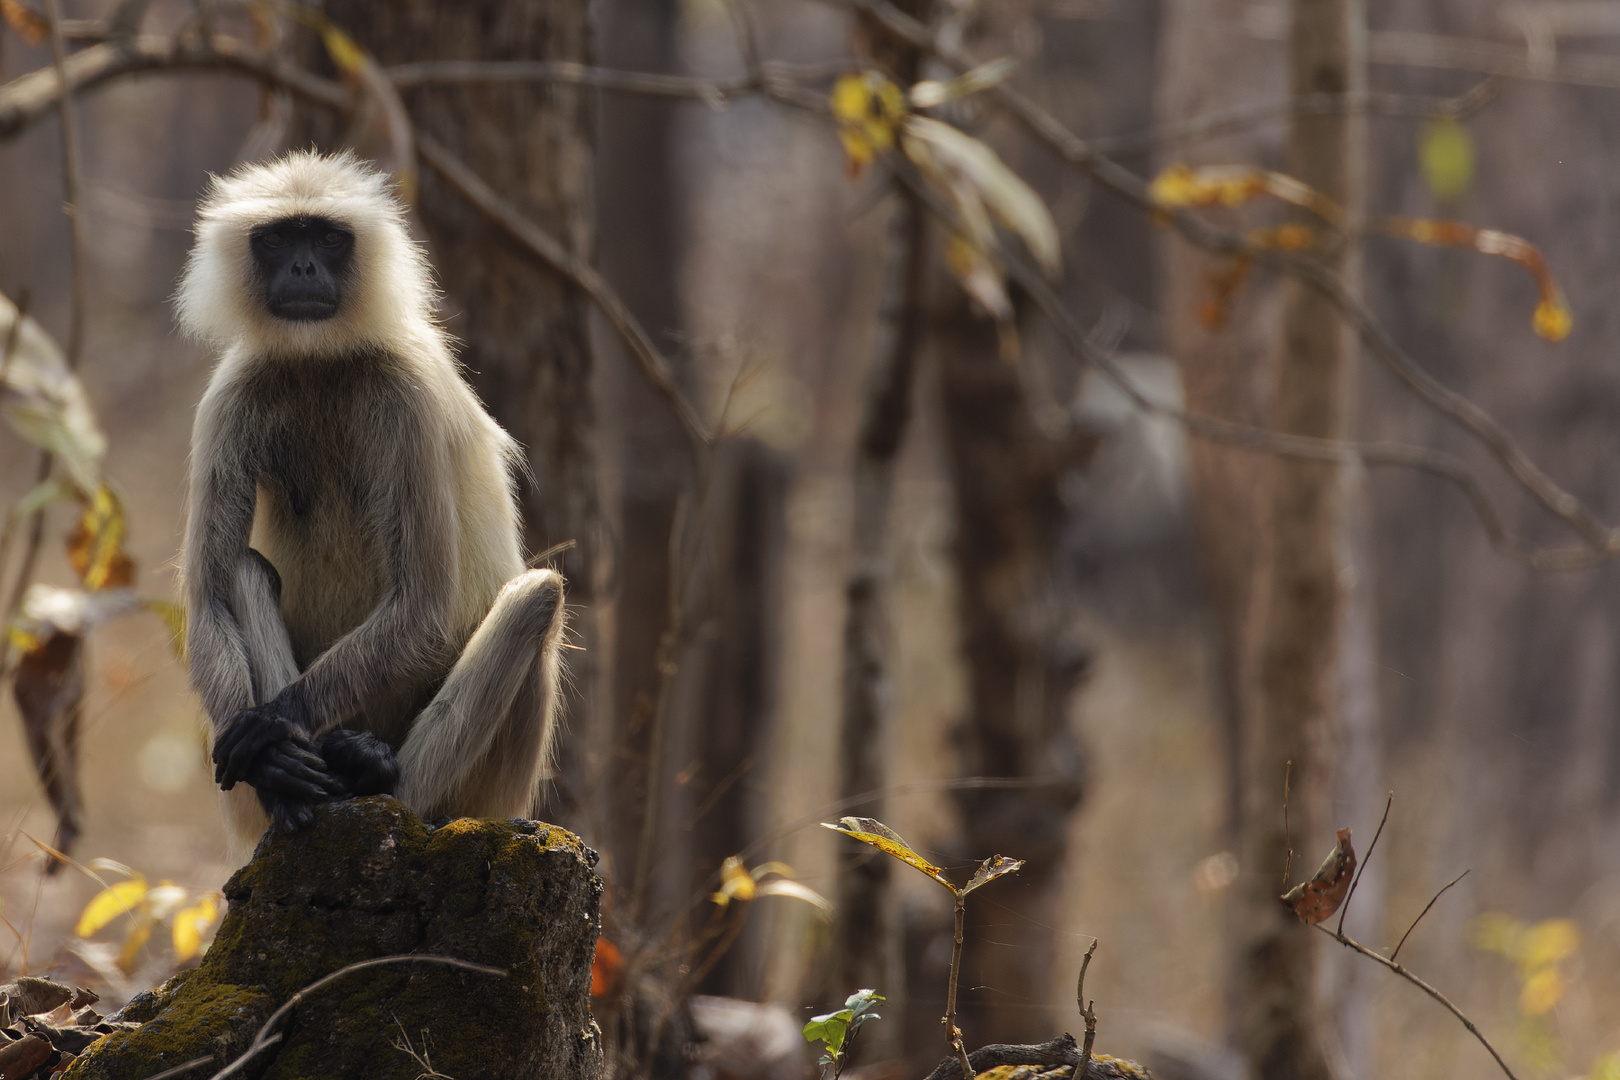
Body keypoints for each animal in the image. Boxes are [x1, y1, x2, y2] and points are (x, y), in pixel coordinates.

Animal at [178, 149, 567, 861]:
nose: (304, 268)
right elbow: (212, 600)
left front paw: (274, 724)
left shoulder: (404, 397)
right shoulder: (230, 395)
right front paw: (271, 755)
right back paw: (293, 792)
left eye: (328, 239)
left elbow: (424, 612)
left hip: (490, 792)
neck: (321, 363)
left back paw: (376, 776)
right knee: (243, 568)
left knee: (537, 595)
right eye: (279, 239)